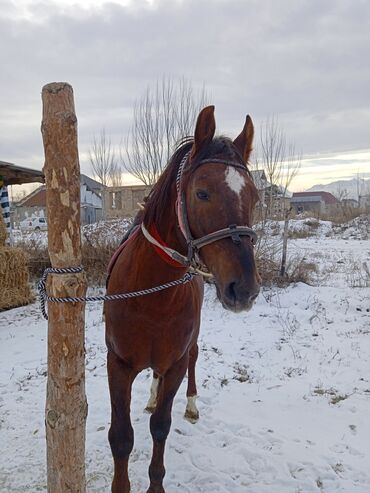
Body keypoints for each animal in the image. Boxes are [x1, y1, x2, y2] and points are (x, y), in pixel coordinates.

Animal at [104, 105, 260, 490]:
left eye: (254, 197)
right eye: (202, 193)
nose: (244, 288)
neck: (151, 296)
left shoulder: (174, 364)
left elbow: (160, 427)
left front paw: (156, 484)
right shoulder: (118, 365)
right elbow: (121, 437)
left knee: (193, 358)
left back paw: (190, 404)